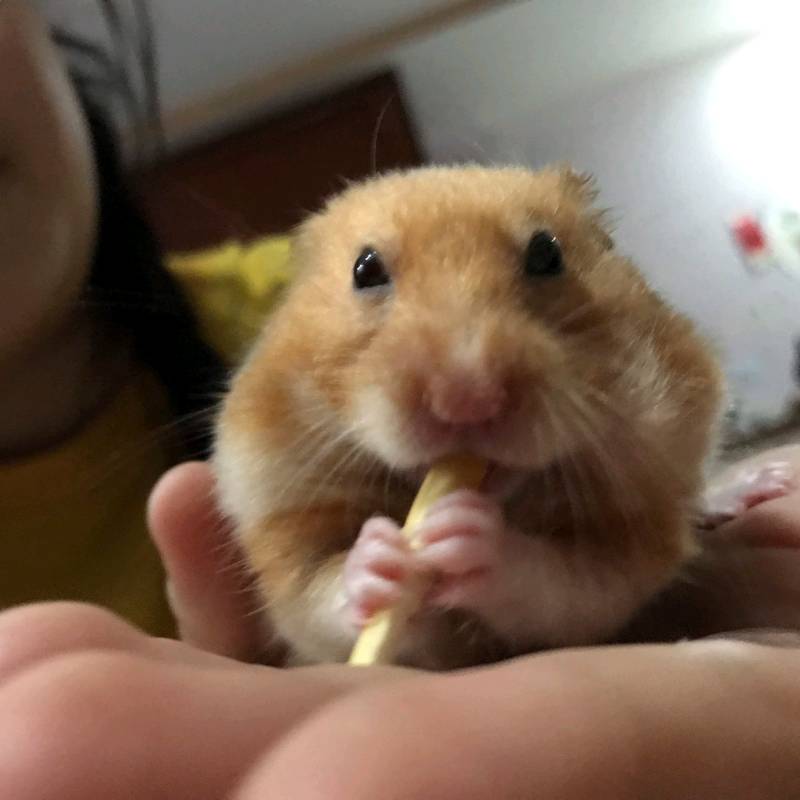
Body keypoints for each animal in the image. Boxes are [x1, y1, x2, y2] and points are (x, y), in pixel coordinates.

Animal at [213, 165, 725, 669]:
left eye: (547, 253)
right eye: (365, 269)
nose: (467, 398)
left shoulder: (628, 549)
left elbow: (557, 583)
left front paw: (461, 530)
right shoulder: (285, 545)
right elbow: (321, 594)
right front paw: (381, 555)